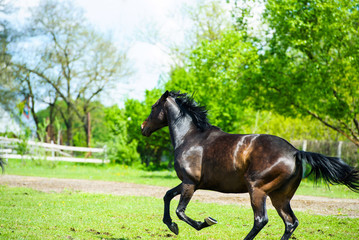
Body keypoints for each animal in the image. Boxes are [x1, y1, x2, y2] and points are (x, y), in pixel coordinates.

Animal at [141, 90, 359, 240]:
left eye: (153, 107)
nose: (143, 127)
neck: (190, 137)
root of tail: (295, 152)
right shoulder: (191, 183)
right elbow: (167, 195)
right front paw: (171, 225)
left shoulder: (190, 183)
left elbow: (180, 211)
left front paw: (205, 222)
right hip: (279, 197)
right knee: (290, 223)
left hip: (257, 190)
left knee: (261, 220)